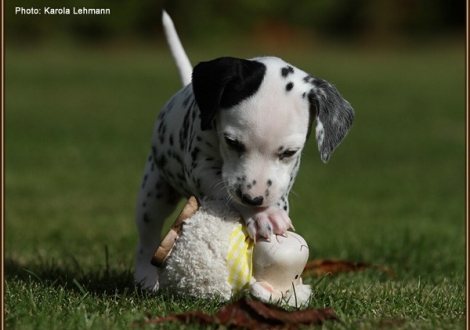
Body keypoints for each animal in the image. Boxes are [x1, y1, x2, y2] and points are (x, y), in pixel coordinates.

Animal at [134, 10, 354, 288]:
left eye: (289, 153)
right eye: (232, 142)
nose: (253, 198)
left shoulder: (286, 177)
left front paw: (270, 211)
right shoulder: (200, 168)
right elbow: (225, 189)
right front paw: (262, 215)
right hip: (153, 191)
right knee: (148, 235)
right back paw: (145, 276)